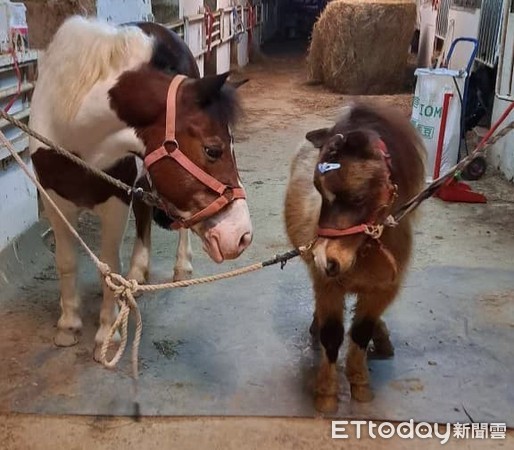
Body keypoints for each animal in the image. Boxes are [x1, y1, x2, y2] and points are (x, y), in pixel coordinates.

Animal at [28, 16, 252, 358]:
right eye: (213, 150)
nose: (241, 235)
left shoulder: (115, 198)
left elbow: (109, 267)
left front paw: (107, 334)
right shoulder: (55, 198)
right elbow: (66, 261)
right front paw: (68, 325)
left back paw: (180, 266)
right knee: (146, 211)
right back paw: (138, 272)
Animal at [282, 103, 422, 414]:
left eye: (358, 198)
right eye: (318, 189)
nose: (325, 259)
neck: (364, 252)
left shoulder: (382, 291)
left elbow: (360, 331)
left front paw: (359, 383)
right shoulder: (329, 287)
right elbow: (332, 335)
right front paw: (326, 393)